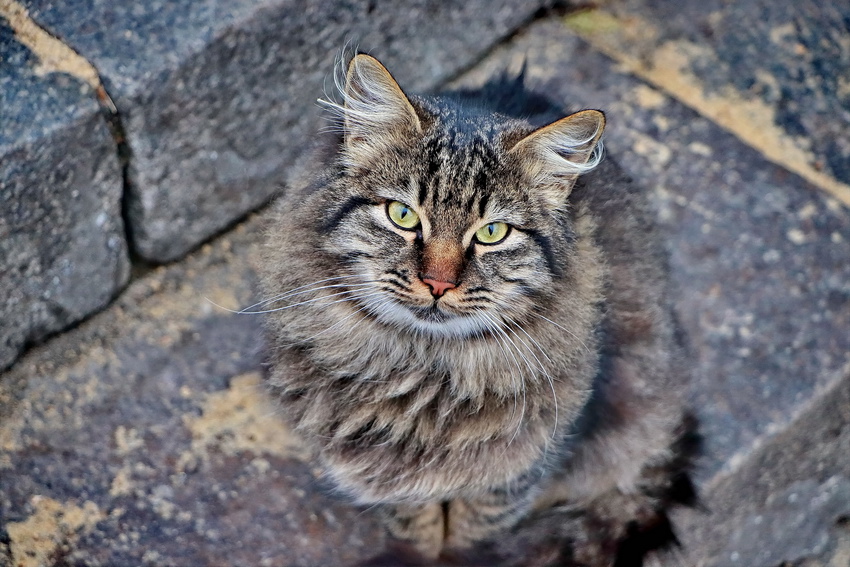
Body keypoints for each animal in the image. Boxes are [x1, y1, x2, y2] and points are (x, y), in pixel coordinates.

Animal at [260, 54, 696, 567]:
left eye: (493, 233)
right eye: (402, 215)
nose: (438, 283)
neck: (425, 376)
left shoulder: (515, 474)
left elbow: (471, 534)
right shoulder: (382, 473)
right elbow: (417, 523)